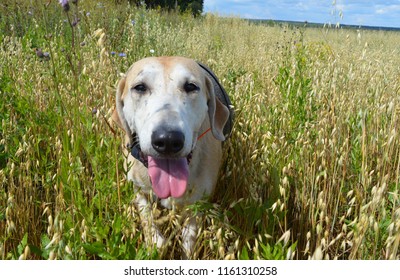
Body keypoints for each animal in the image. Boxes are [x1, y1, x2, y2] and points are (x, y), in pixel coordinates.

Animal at [111, 57, 231, 258]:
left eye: (191, 86)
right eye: (140, 87)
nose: (167, 139)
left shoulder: (198, 204)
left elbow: (189, 243)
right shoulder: (138, 189)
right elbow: (148, 222)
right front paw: (155, 244)